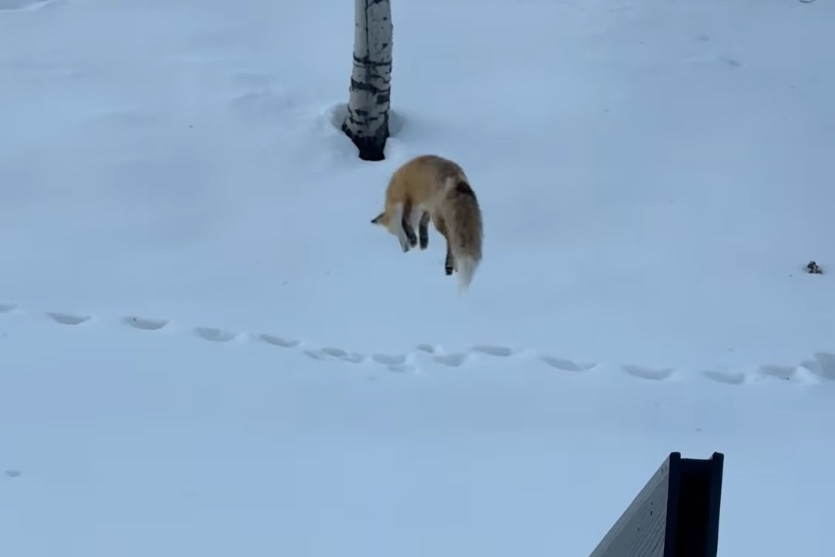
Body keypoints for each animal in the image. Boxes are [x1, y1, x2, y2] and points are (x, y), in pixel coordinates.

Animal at [370, 154, 483, 291]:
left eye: (396, 234)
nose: (404, 250)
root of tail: (456, 178)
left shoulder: (406, 201)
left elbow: (407, 222)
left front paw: (413, 240)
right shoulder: (424, 208)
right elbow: (422, 226)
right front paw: (423, 244)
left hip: (438, 220)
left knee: (451, 239)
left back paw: (449, 266)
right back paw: (453, 267)